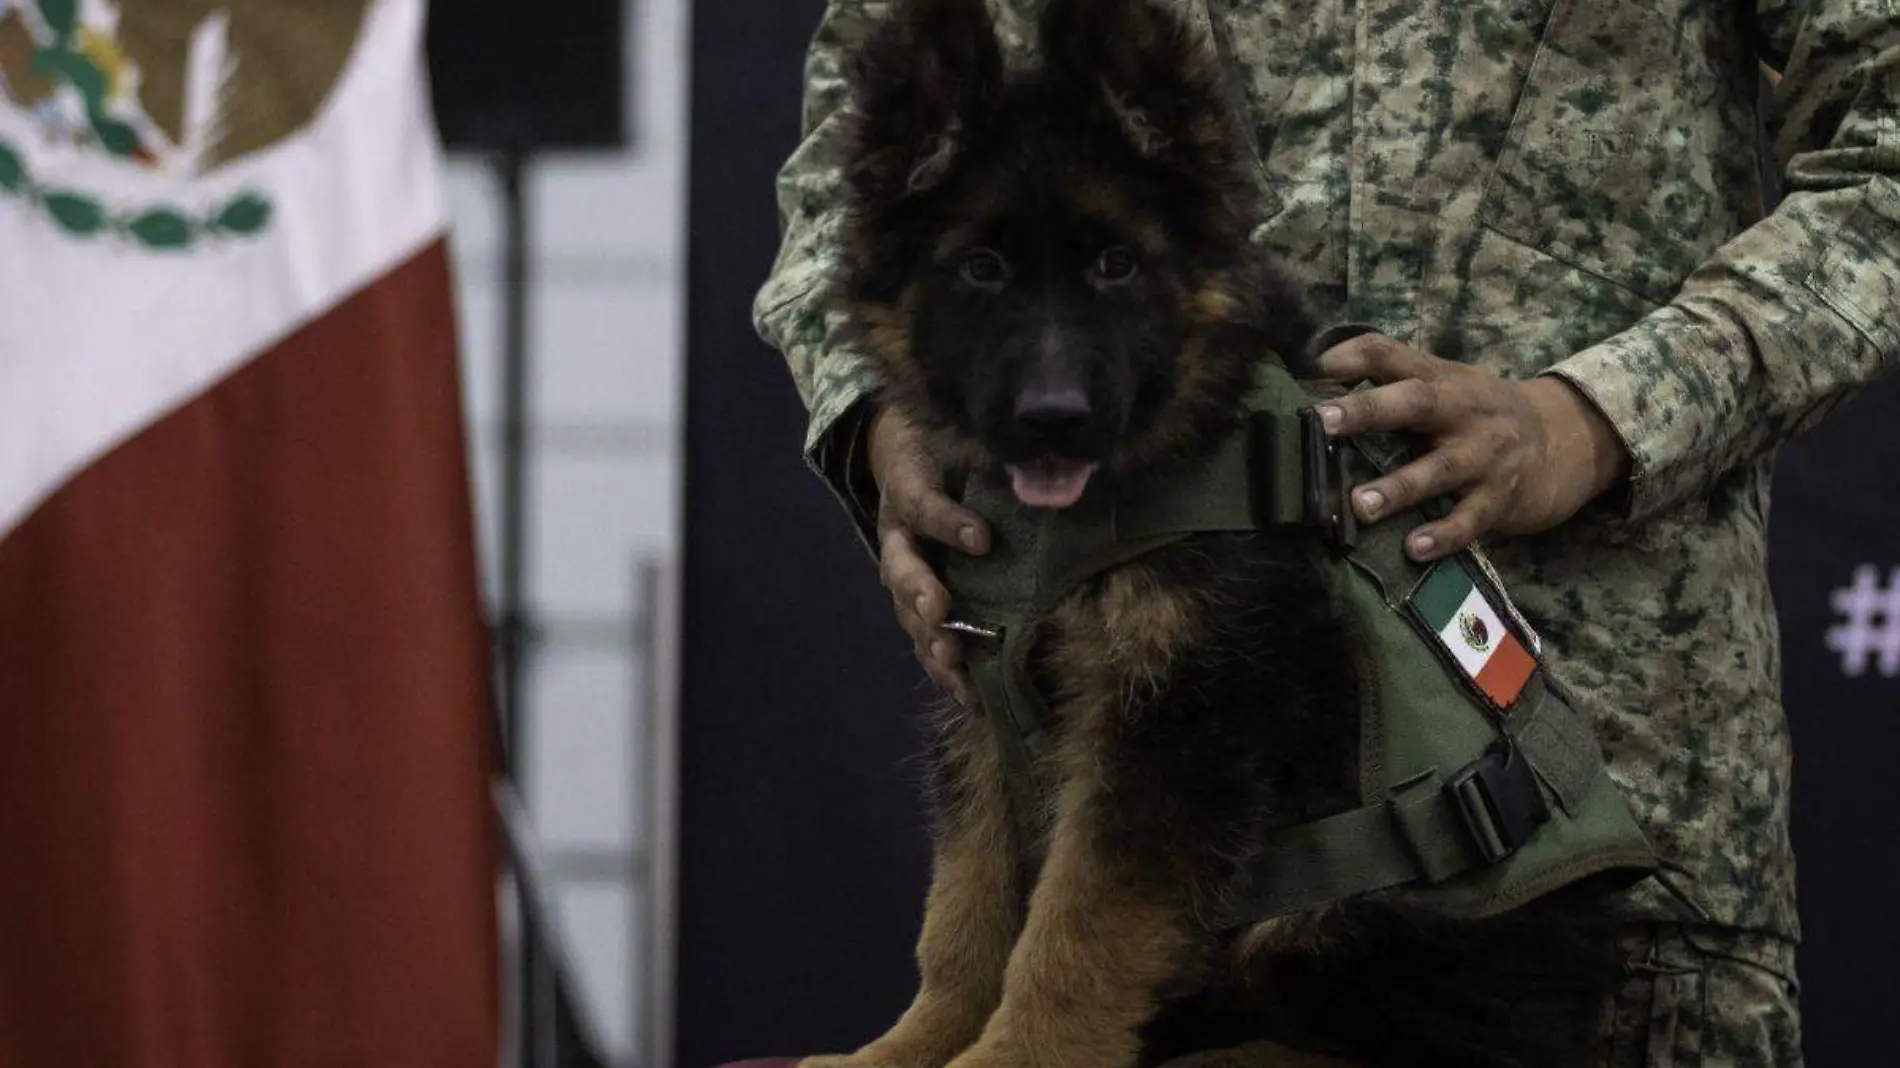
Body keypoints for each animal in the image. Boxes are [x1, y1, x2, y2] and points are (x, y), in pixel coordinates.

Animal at [813, 2, 1618, 1064]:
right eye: (980, 270)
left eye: (1116, 265)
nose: (1053, 420)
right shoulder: (983, 709)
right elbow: (966, 905)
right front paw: (915, 1043)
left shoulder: (1180, 722)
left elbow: (1077, 925)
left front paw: (1018, 1051)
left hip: (1367, 918)